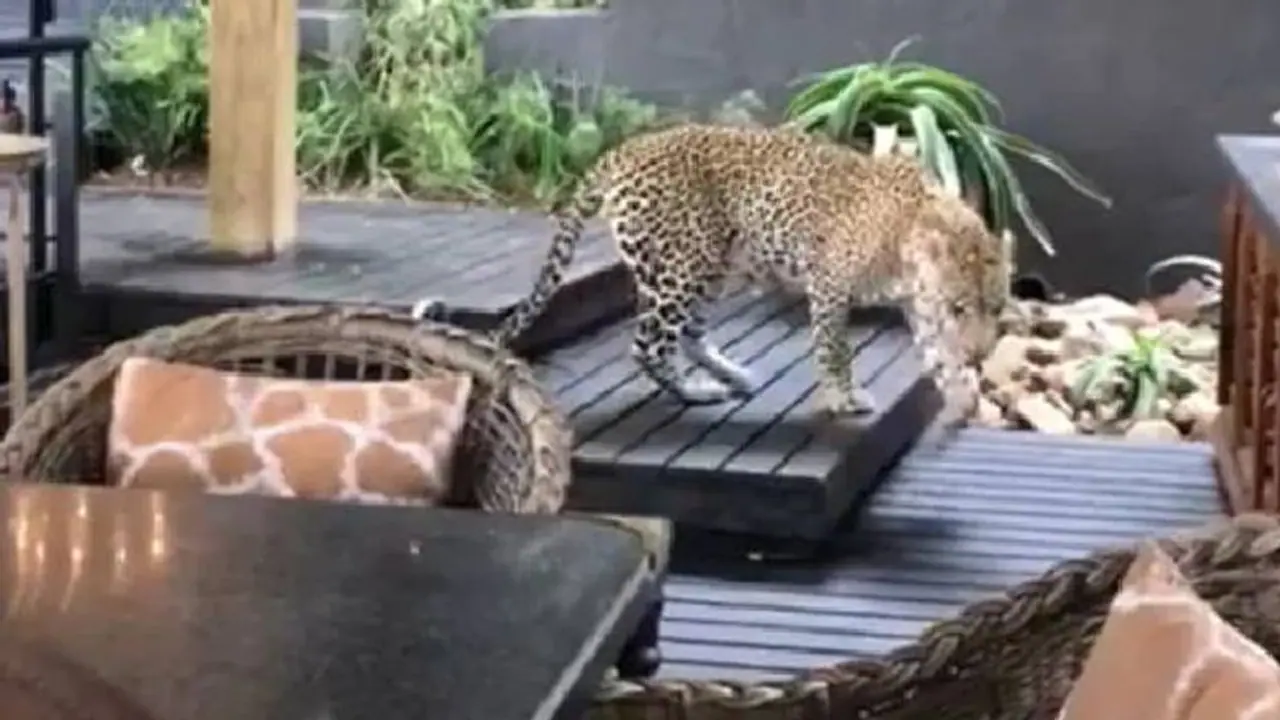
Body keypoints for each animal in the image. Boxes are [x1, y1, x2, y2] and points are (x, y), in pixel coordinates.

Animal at [456, 123, 1010, 422]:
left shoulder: (917, 304)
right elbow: (835, 350)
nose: (982, 354)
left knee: (688, 335)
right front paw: (842, 396)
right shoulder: (828, 285)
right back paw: (697, 391)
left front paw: (962, 390)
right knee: (648, 345)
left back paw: (733, 374)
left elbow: (937, 350)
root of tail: (627, 148)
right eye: (960, 306)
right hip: (682, 268)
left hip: (709, 268)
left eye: (996, 308)